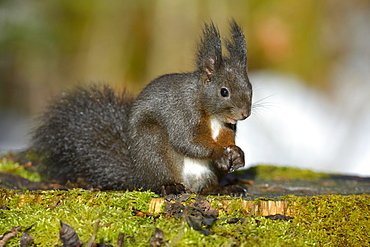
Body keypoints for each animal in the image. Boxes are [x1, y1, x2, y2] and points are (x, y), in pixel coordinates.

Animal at [31, 20, 253, 195]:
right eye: (224, 92)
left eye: (250, 87)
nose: (245, 114)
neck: (212, 114)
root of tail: (138, 175)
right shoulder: (183, 113)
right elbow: (188, 141)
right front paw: (220, 153)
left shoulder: (225, 127)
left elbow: (226, 139)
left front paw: (237, 154)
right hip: (153, 146)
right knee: (158, 180)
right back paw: (170, 186)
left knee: (205, 187)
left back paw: (222, 188)